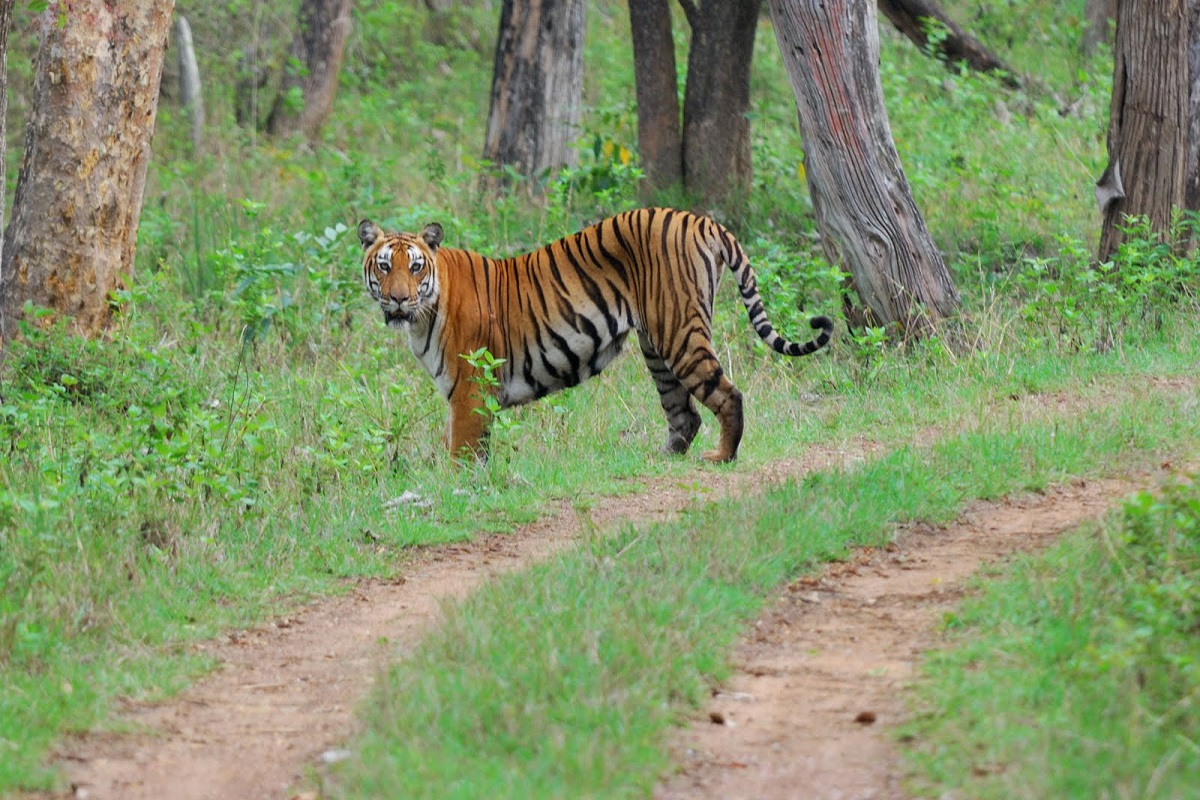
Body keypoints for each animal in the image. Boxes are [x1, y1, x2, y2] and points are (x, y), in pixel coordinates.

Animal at [350, 206, 830, 462]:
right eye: (384, 266)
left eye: (415, 267)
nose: (397, 299)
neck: (424, 315)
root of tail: (698, 219)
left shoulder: (470, 389)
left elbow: (463, 451)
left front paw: (459, 489)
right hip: (657, 346)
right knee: (684, 413)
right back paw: (663, 460)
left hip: (680, 332)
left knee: (728, 395)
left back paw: (721, 457)